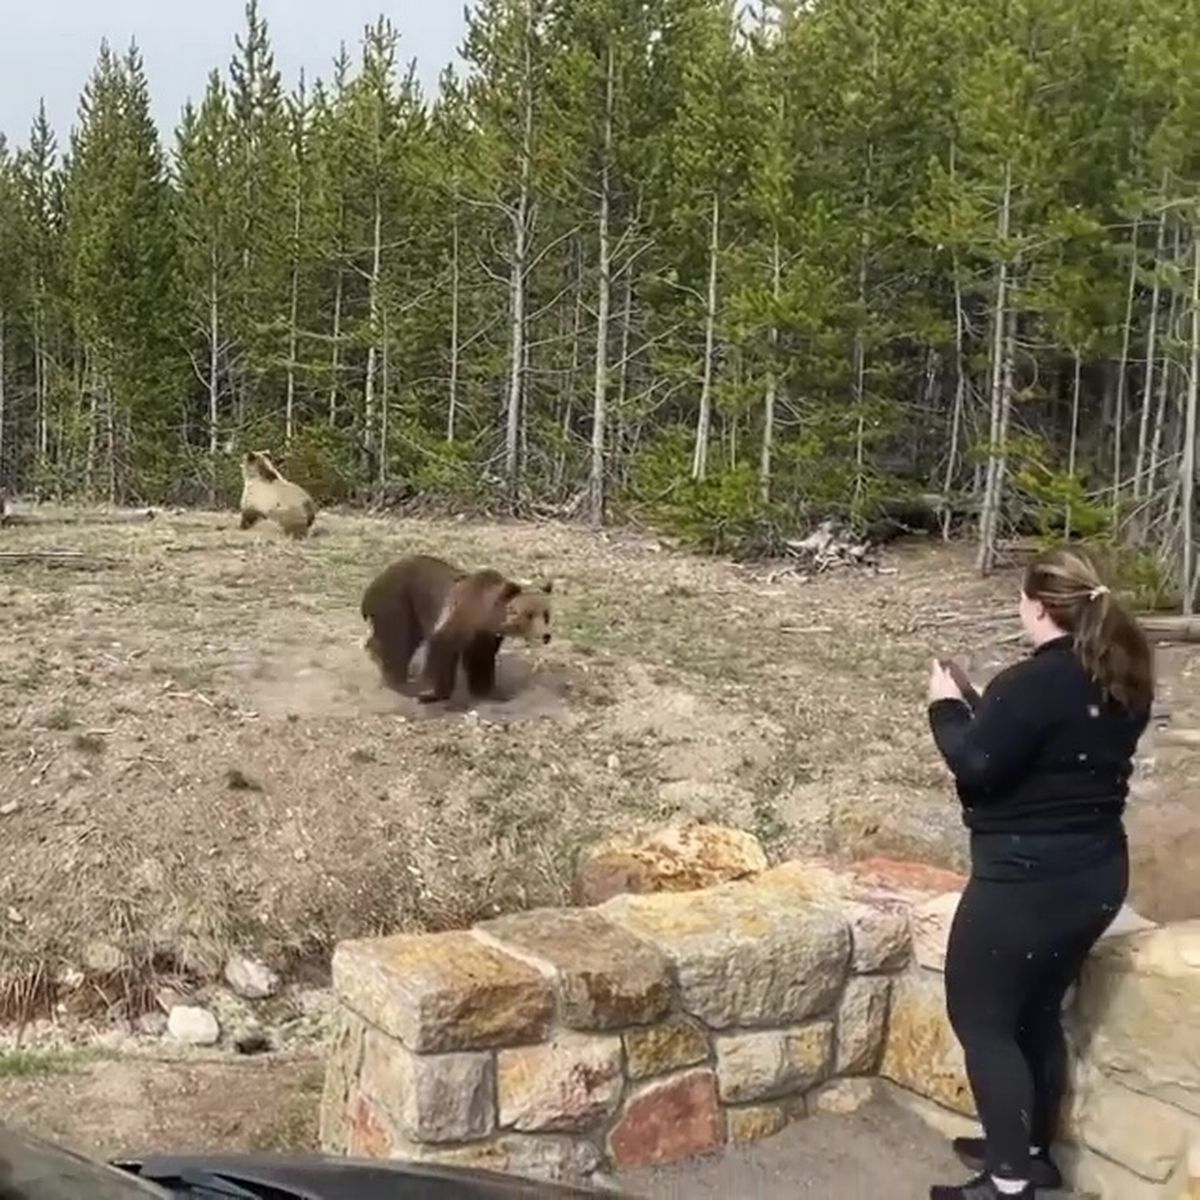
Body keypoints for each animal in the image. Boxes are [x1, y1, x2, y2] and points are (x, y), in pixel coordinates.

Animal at [360, 552, 552, 700]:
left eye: (546, 615)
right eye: (529, 614)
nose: (546, 635)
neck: (485, 615)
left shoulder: (485, 636)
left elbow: (481, 660)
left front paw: (487, 691)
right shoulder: (457, 618)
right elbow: (441, 649)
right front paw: (432, 693)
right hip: (399, 602)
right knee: (397, 642)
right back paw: (396, 680)